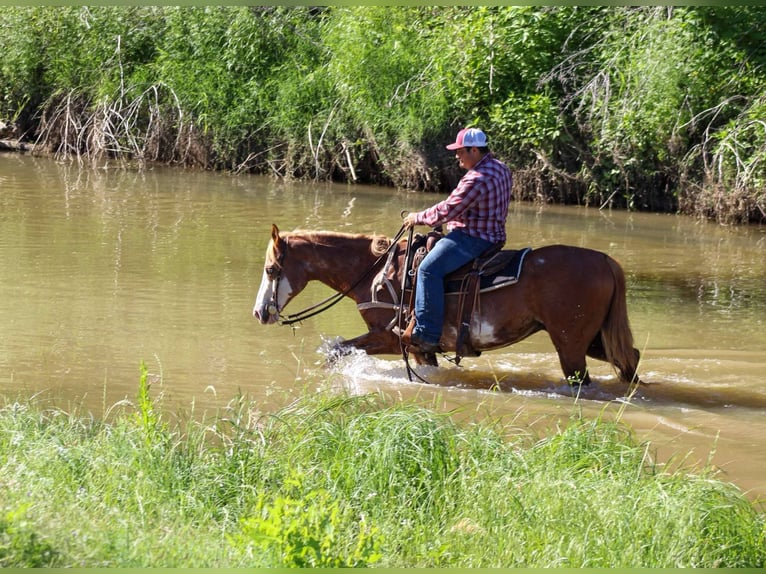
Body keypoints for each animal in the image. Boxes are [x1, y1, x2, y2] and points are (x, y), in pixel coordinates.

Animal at [253, 224, 641, 386]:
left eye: (271, 269)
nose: (259, 313)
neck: (376, 271)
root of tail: (605, 260)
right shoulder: (421, 348)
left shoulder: (389, 337)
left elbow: (336, 350)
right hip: (593, 340)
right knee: (629, 360)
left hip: (570, 343)